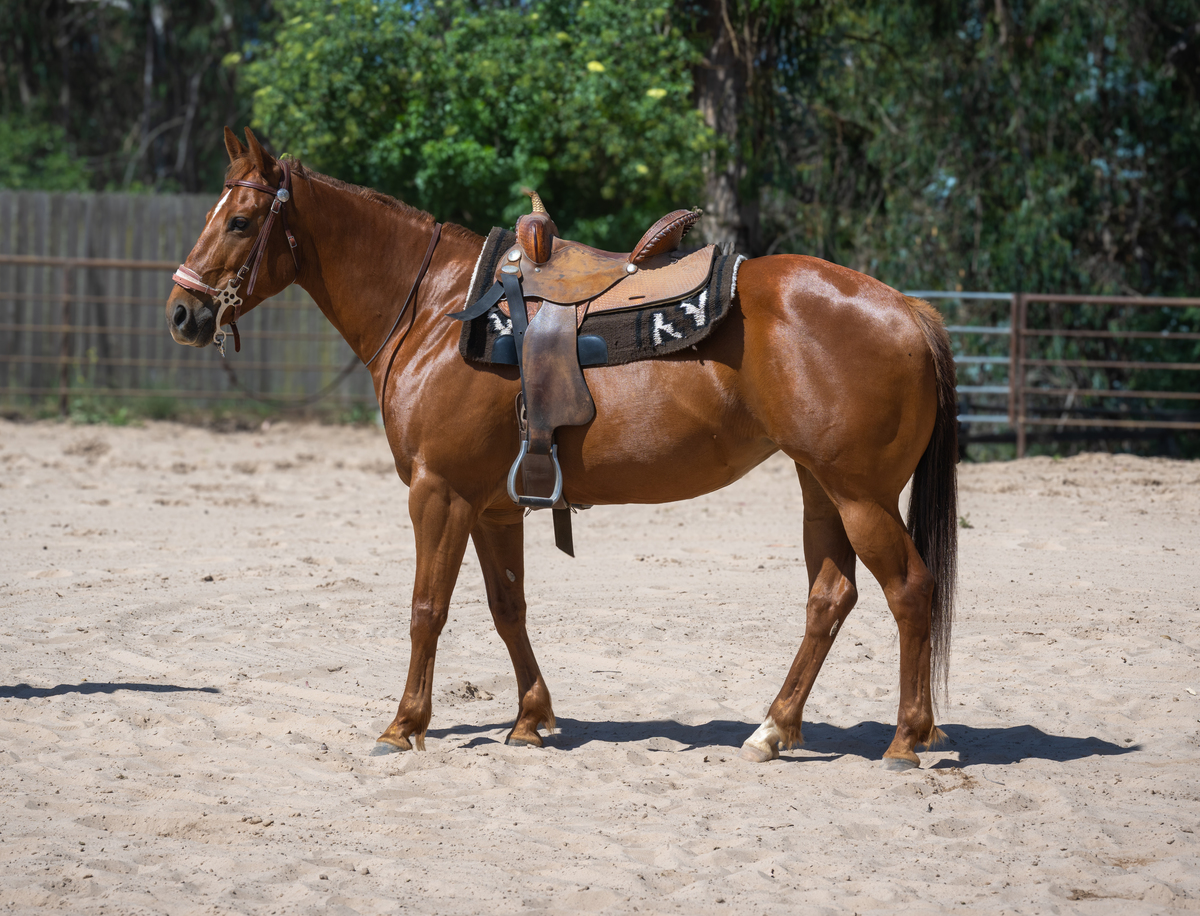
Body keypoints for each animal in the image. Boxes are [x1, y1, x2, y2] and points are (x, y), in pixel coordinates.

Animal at [166, 127, 958, 771]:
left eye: (240, 221)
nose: (182, 312)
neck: (441, 310)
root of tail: (907, 308)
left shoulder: (439, 491)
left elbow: (428, 606)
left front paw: (404, 725)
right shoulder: (491, 506)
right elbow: (506, 605)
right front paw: (530, 719)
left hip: (861, 496)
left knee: (909, 590)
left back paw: (904, 740)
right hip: (820, 488)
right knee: (830, 597)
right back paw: (775, 729)